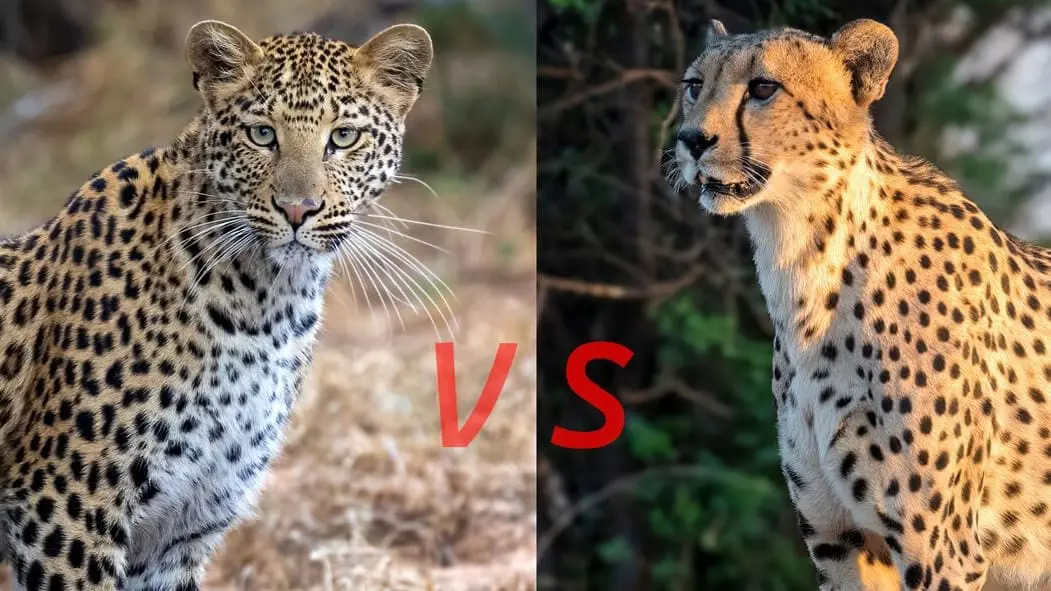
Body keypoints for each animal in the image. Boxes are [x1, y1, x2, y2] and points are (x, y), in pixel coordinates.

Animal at [0, 18, 432, 590]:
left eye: (343, 137)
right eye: (262, 134)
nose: (298, 209)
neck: (267, 307)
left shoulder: (183, 526)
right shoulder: (63, 503)